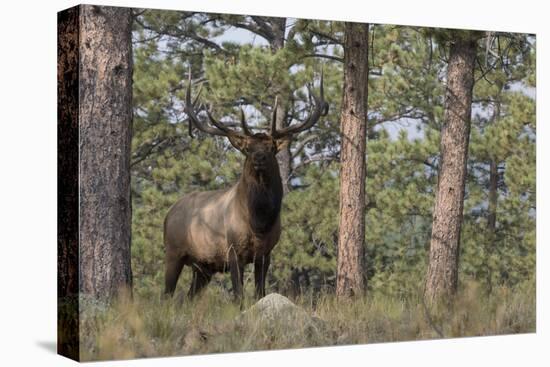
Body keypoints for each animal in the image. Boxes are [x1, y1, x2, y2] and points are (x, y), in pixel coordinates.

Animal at [164, 71, 328, 302]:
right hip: (173, 252)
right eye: (248, 148)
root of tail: (168, 213)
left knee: (187, 298)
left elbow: (260, 292)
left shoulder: (266, 253)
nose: (259, 157)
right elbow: (238, 295)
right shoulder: (233, 250)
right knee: (166, 294)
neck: (259, 224)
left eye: (271, 147)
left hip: (203, 266)